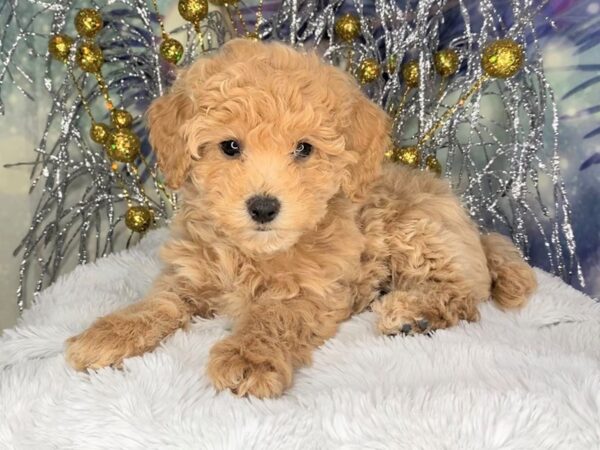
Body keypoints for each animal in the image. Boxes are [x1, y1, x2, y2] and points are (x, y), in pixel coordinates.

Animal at [64, 38, 536, 398]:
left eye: (304, 149)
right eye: (230, 146)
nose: (263, 207)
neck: (254, 253)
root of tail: (476, 229)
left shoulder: (313, 291)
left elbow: (273, 319)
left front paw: (249, 357)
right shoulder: (189, 273)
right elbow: (158, 303)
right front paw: (109, 334)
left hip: (413, 228)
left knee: (464, 294)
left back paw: (412, 313)